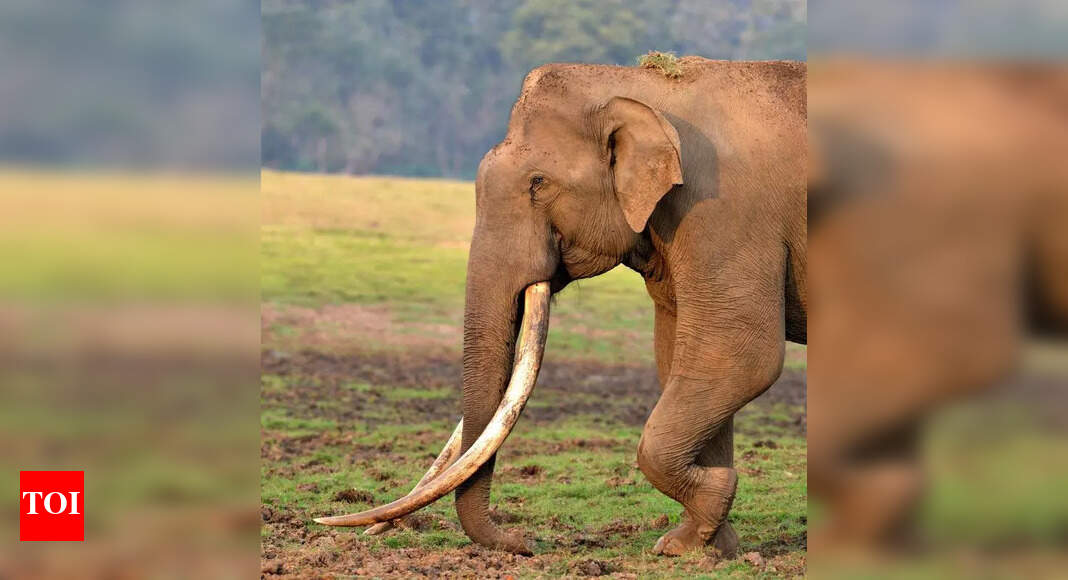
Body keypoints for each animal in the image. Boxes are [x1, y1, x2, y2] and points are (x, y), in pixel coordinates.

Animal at [316, 57, 808, 557]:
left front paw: (695, 522)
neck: (640, 85)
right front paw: (696, 546)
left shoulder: (725, 211)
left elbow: (738, 354)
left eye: (539, 183)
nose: (522, 541)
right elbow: (679, 356)